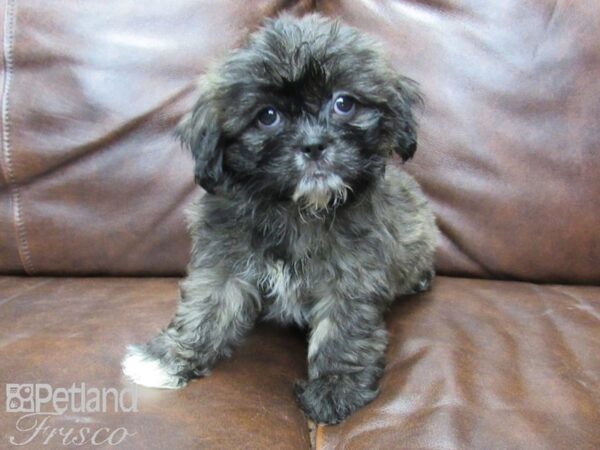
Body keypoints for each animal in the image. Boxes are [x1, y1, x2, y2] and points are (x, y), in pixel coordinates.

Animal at [123, 12, 440, 424]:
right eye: (268, 116)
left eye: (344, 103)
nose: (314, 145)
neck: (297, 208)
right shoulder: (224, 260)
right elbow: (206, 307)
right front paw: (168, 357)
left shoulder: (352, 276)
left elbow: (343, 330)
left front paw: (335, 387)